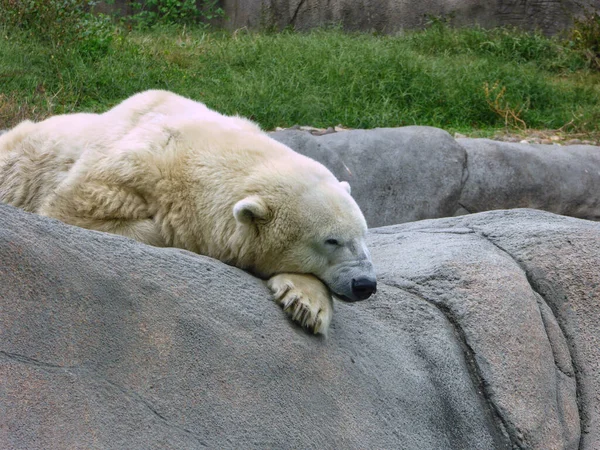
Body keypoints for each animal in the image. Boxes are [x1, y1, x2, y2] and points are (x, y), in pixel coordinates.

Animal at [0, 90, 376, 334]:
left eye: (362, 236)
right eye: (330, 241)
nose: (365, 284)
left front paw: (307, 304)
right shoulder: (122, 171)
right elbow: (71, 209)